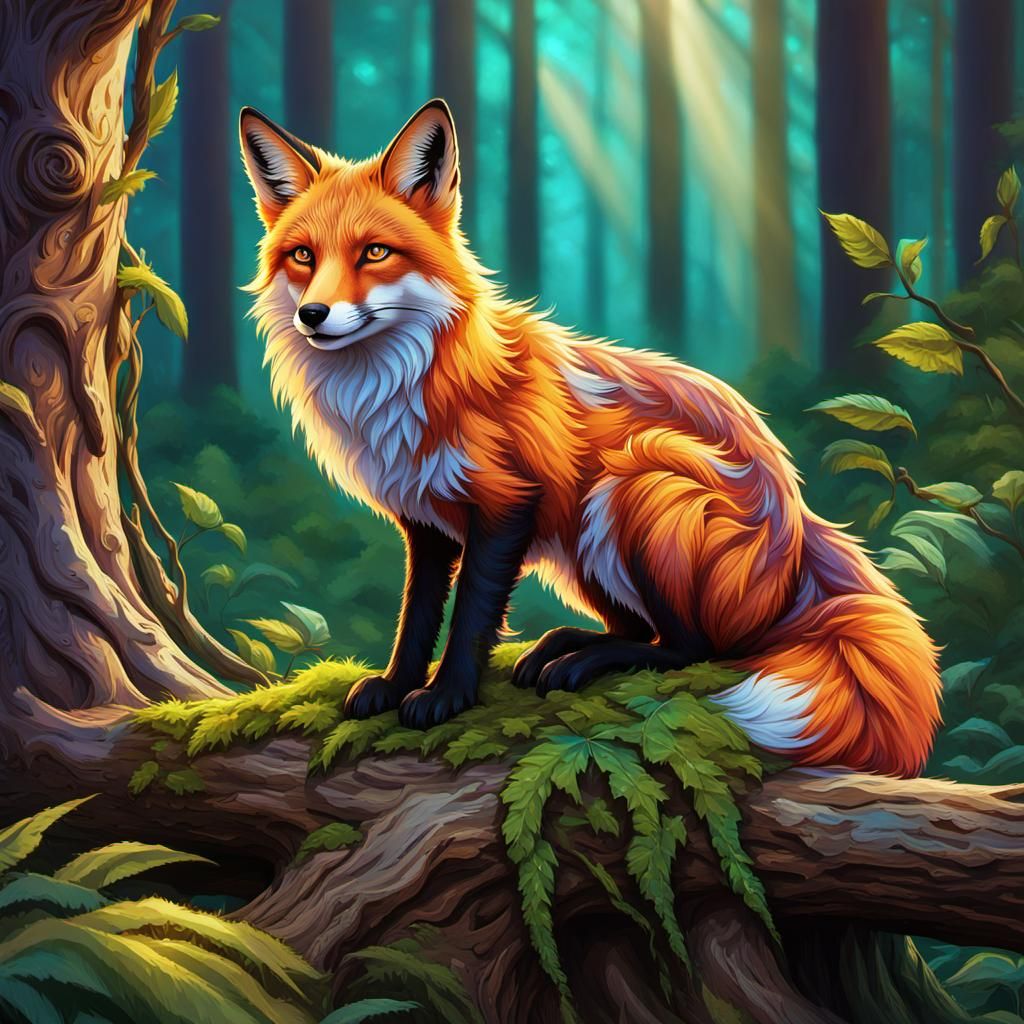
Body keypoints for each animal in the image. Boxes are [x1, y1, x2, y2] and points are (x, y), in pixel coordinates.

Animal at [239, 99, 941, 777]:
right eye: (303, 256)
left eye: (375, 253)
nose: (312, 315)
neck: (406, 388)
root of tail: (799, 524)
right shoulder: (427, 522)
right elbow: (417, 614)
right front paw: (394, 684)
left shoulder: (507, 503)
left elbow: (470, 617)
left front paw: (446, 696)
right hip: (582, 550)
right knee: (646, 630)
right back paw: (567, 646)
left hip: (637, 484)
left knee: (697, 648)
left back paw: (585, 662)